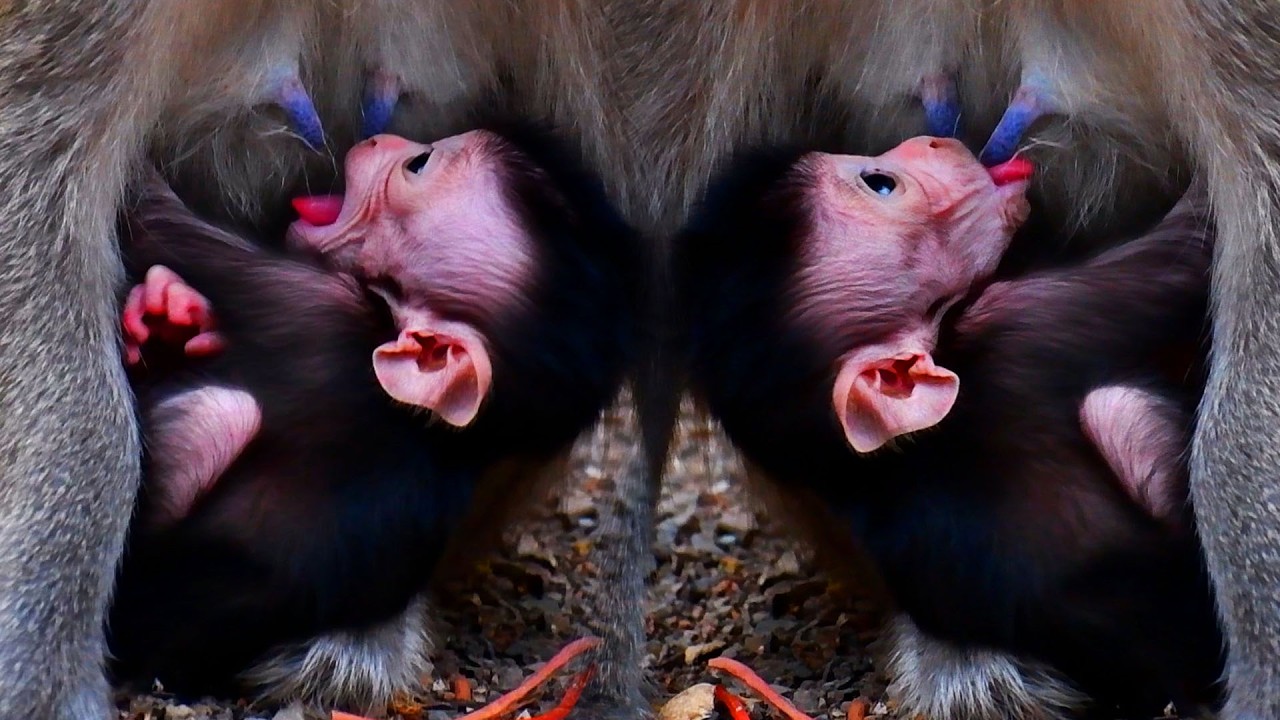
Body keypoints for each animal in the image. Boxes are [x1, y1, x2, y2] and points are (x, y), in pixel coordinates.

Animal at [104, 126, 639, 715]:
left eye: (419, 165)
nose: (381, 137)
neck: (450, 435)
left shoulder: (318, 305)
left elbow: (158, 223)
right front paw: (165, 315)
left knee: (217, 417)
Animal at [676, 135, 1221, 718]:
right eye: (880, 184)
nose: (932, 138)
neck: (863, 463)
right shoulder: (1021, 317)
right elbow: (1181, 254)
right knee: (1117, 410)